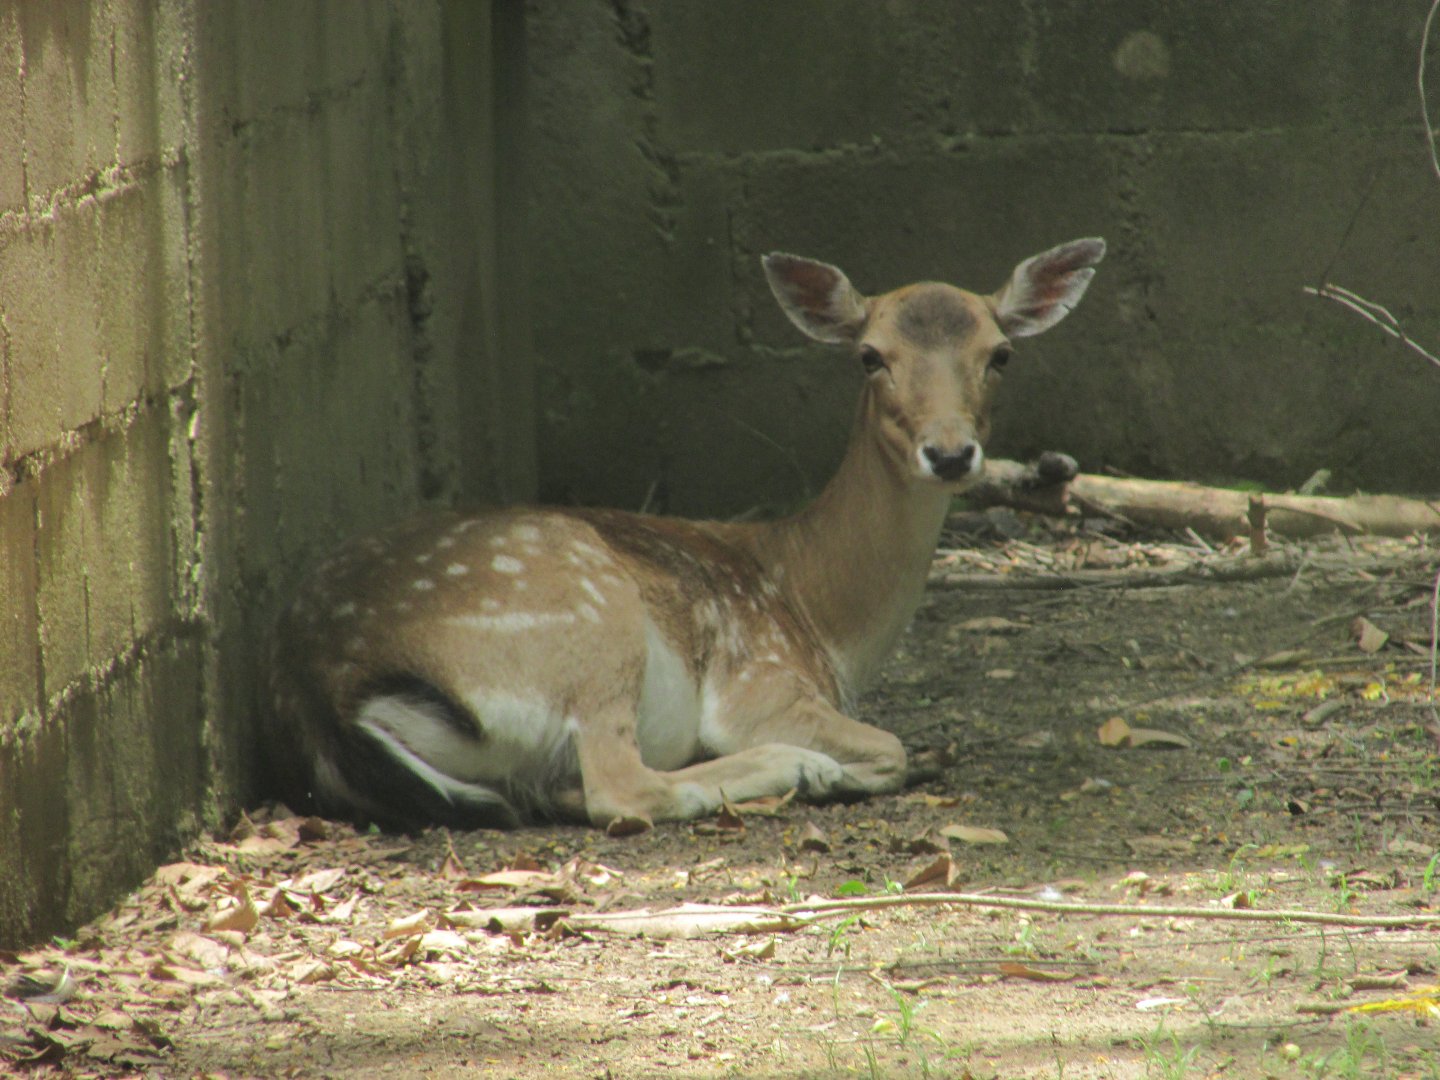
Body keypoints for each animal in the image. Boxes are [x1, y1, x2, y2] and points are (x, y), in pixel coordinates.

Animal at [267, 237, 1106, 835]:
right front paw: (843, 767)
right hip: (587, 618)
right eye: (870, 355)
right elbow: (888, 745)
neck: (819, 616)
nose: (951, 452)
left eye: (1001, 353)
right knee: (620, 789)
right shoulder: (757, 682)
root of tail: (328, 693)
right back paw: (802, 769)